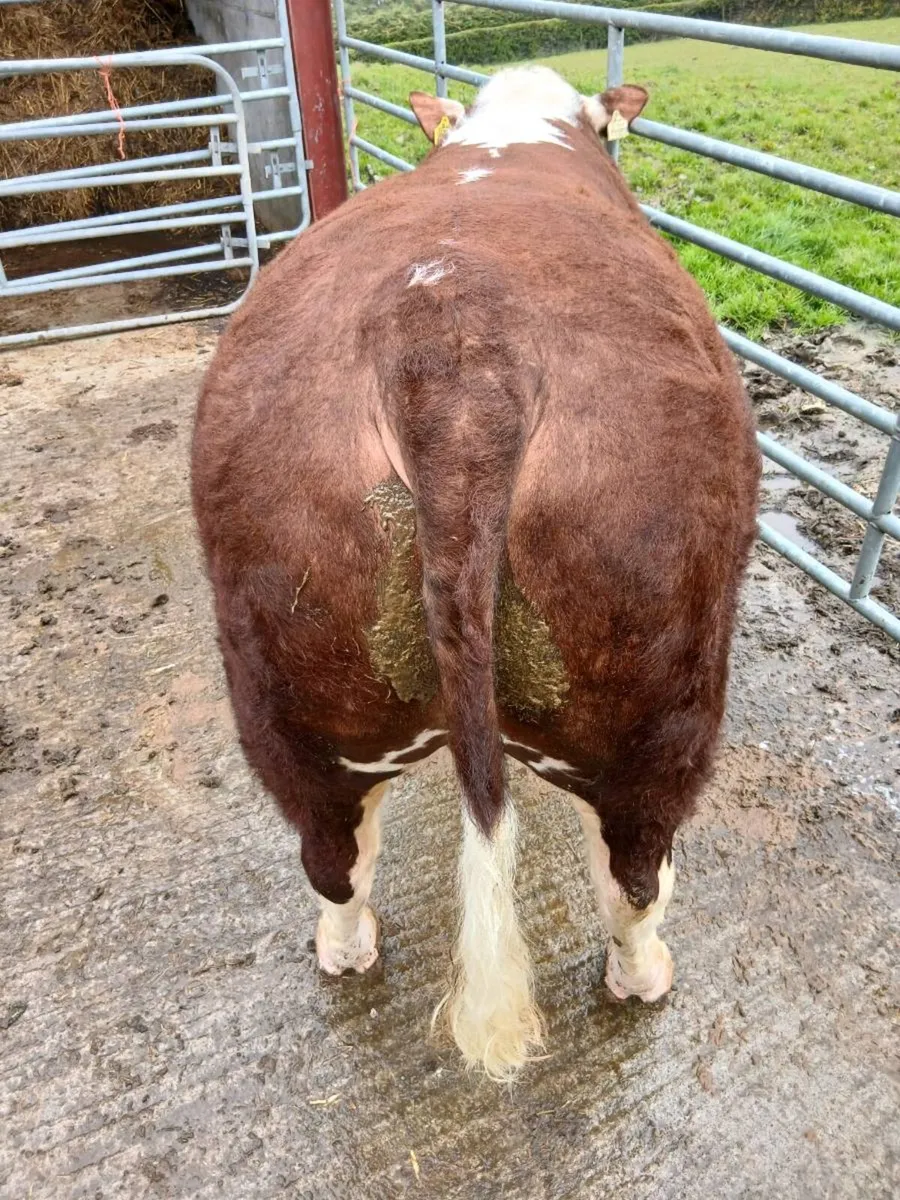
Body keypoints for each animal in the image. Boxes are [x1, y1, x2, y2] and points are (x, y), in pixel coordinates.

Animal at [191, 65, 760, 1081]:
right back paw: (642, 976)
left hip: (287, 684)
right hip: (663, 702)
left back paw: (345, 950)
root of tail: (456, 351)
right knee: (635, 870)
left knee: (330, 852)